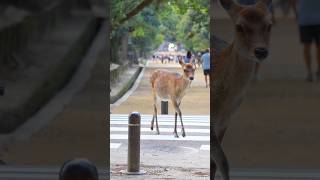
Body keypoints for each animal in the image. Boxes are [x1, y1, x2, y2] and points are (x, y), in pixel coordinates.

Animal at [212, 0, 272, 179]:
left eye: (269, 25)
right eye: (239, 26)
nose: (261, 51)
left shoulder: (225, 121)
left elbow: (216, 164)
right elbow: (222, 160)